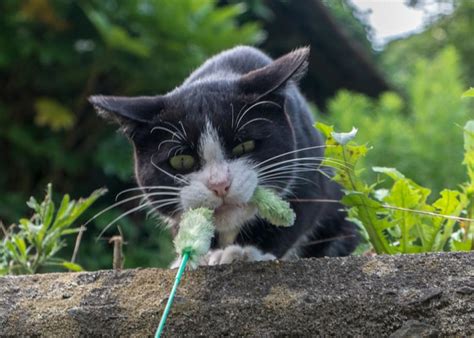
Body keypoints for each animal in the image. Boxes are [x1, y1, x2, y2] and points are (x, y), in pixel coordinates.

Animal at [89, 45, 358, 266]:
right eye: (181, 160)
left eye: (244, 146)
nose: (219, 184)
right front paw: (198, 256)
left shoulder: (307, 161)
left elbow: (300, 208)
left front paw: (245, 252)